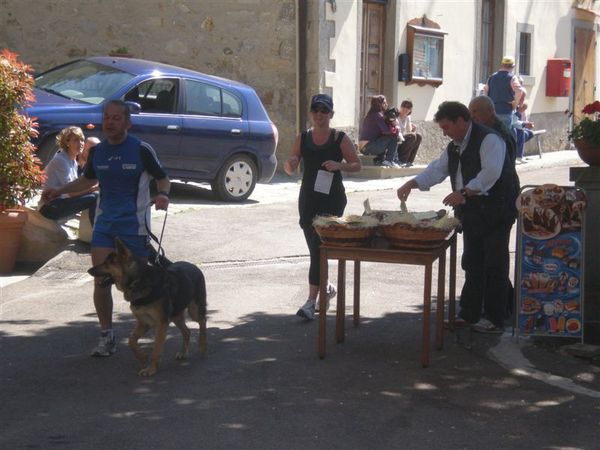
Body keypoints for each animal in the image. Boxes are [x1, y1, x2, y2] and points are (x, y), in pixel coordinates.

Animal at [88, 239, 207, 376]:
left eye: (108, 263)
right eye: (104, 261)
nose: (89, 270)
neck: (137, 281)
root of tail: (193, 265)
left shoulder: (161, 324)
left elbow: (156, 349)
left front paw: (151, 369)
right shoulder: (144, 323)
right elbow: (131, 341)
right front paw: (143, 357)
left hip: (194, 310)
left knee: (202, 321)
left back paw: (203, 346)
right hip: (175, 315)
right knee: (187, 331)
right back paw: (183, 352)